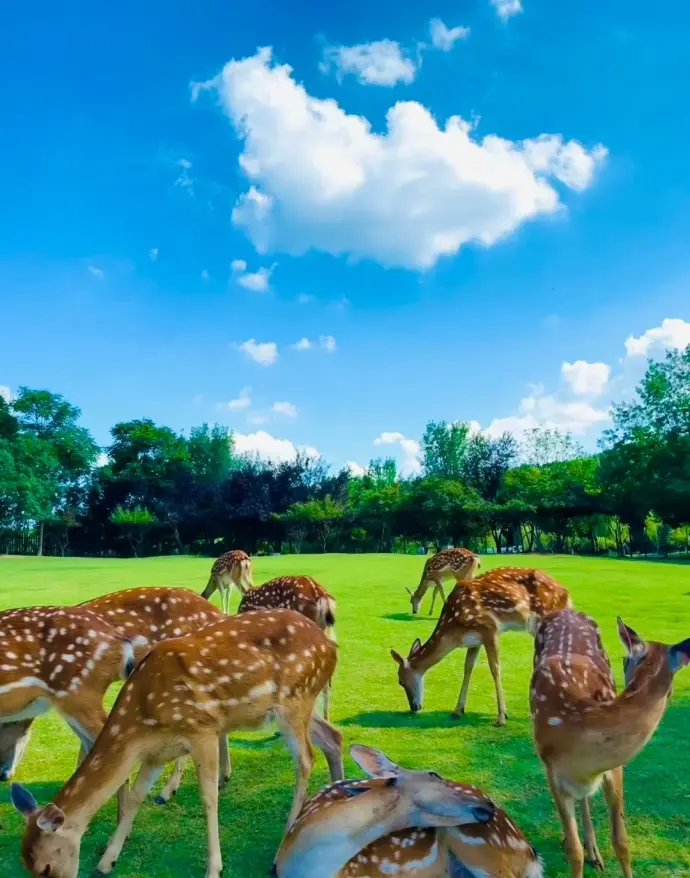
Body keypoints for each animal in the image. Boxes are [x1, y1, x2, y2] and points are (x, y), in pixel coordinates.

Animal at [11, 608, 344, 878]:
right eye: (28, 866)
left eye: (46, 867)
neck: (142, 715)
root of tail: (331, 648)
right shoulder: (155, 752)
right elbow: (137, 796)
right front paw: (107, 861)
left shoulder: (203, 729)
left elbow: (209, 798)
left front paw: (214, 868)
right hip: (298, 706)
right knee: (333, 737)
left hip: (294, 701)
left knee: (306, 759)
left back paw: (281, 849)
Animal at [392, 567, 571, 726]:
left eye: (400, 681)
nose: (414, 707)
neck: (454, 629)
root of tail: (567, 594)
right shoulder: (474, 640)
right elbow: (468, 667)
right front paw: (457, 710)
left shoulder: (490, 628)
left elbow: (495, 668)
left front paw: (501, 717)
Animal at [530, 609, 690, 877]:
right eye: (626, 660)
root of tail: (566, 610)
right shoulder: (552, 772)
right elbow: (574, 852)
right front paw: (574, 846)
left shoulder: (614, 768)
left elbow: (621, 842)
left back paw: (594, 852)